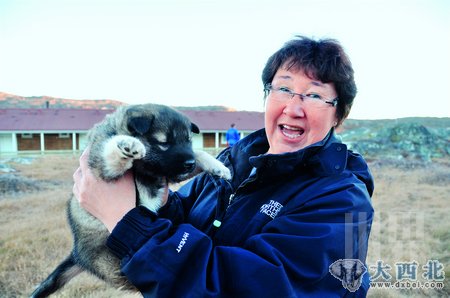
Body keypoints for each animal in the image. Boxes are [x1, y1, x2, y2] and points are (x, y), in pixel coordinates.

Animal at [30, 103, 232, 296]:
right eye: (164, 143)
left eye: (188, 141)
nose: (189, 164)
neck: (145, 170)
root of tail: (78, 254)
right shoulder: (101, 165)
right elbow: (109, 152)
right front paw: (127, 143)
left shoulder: (171, 172)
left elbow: (198, 153)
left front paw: (218, 166)